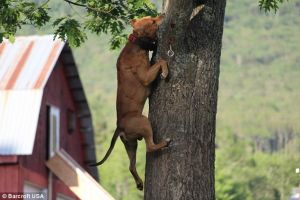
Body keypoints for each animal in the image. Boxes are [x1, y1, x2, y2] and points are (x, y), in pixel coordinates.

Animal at [91, 14, 171, 190]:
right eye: (153, 21)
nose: (162, 15)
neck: (137, 42)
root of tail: (119, 126)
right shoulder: (147, 76)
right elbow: (162, 61)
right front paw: (165, 72)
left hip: (131, 144)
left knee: (131, 166)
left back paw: (140, 183)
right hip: (143, 122)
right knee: (150, 147)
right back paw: (164, 143)